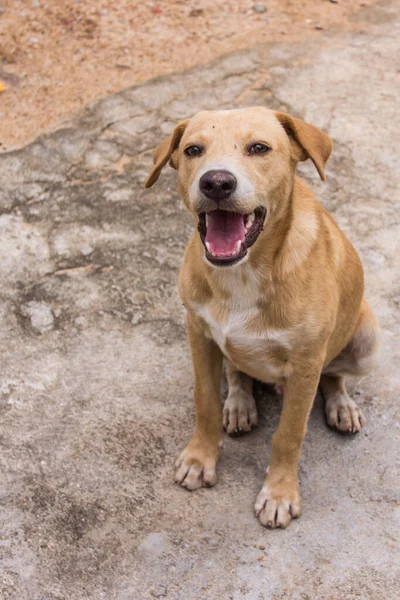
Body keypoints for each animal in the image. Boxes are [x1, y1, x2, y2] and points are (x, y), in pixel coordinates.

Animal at [145, 109, 382, 528]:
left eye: (259, 148)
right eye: (193, 150)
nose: (216, 182)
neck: (242, 272)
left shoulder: (306, 363)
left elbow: (289, 434)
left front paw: (279, 493)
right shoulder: (199, 333)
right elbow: (205, 401)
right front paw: (200, 458)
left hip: (368, 336)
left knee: (335, 375)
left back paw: (341, 405)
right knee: (237, 371)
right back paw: (240, 403)